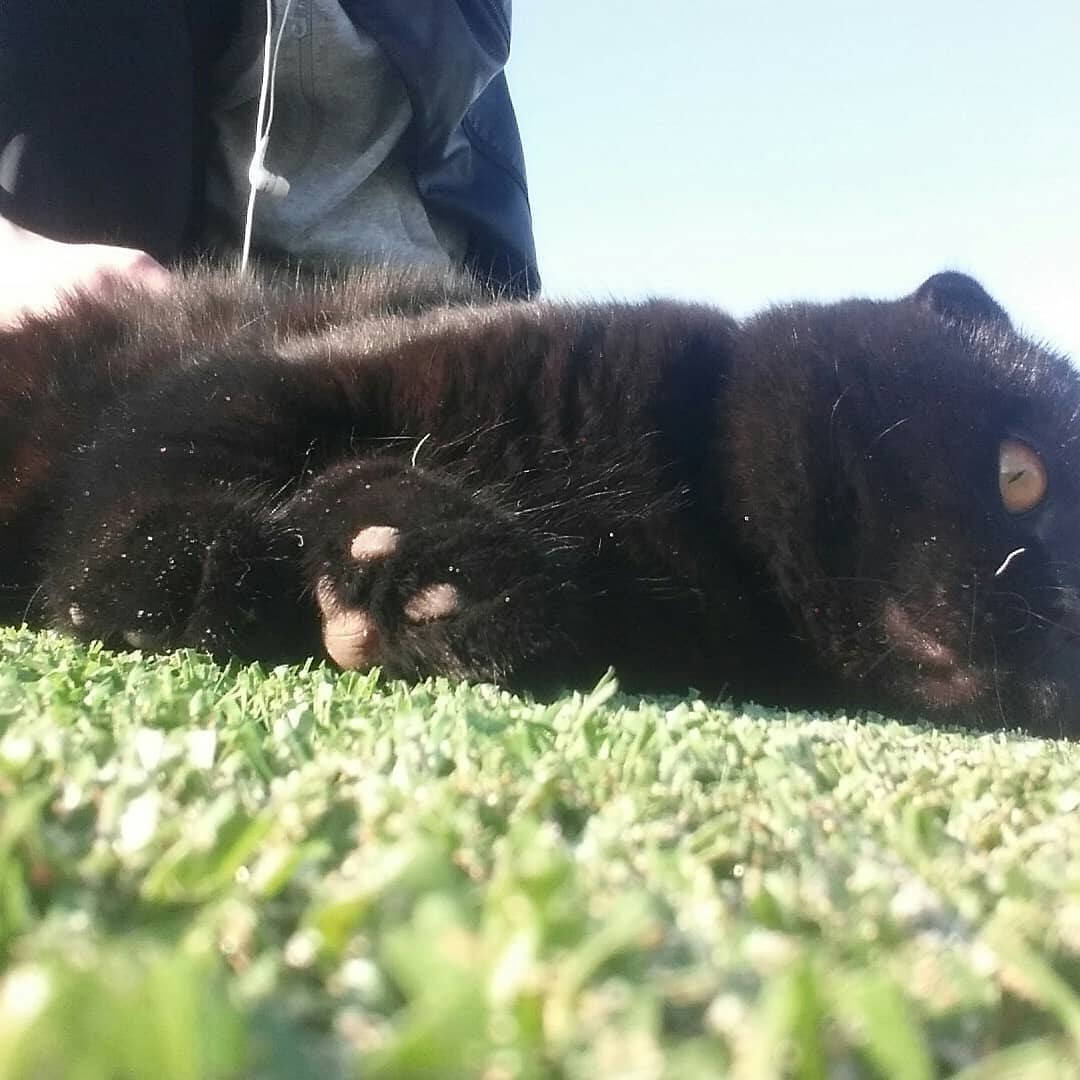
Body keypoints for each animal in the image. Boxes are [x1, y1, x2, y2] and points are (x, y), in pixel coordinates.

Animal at [2, 266, 1080, 734]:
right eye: (1018, 473)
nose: (1055, 621)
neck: (668, 522)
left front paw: (411, 571)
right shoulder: (279, 371)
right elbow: (159, 445)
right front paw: (177, 570)